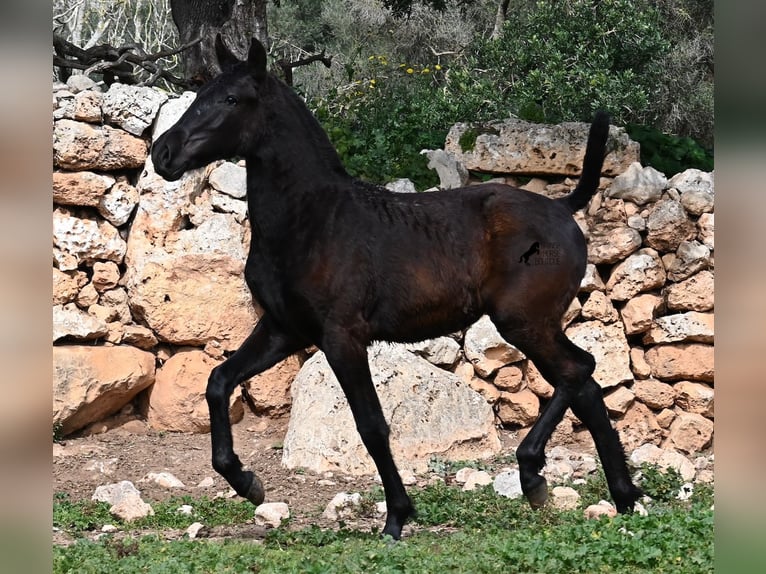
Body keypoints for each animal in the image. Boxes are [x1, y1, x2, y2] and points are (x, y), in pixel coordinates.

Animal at [152, 37, 640, 544]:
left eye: (231, 99)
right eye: (202, 92)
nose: (162, 154)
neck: (313, 221)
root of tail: (565, 209)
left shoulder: (342, 337)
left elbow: (371, 425)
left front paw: (396, 517)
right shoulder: (284, 330)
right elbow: (217, 381)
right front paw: (246, 482)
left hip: (524, 322)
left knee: (578, 371)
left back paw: (533, 474)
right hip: (534, 326)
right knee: (585, 385)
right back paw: (623, 497)